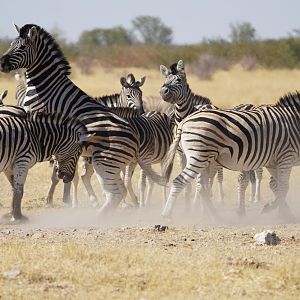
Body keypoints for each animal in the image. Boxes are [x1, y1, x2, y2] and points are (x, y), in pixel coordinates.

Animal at [0, 24, 164, 216]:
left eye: (22, 47)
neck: (45, 86)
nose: (1, 63)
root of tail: (134, 135)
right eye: (11, 45)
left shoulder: (39, 117)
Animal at [162, 91, 300, 220]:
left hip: (203, 159)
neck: (294, 122)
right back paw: (167, 215)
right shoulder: (286, 156)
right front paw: (274, 210)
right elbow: (283, 186)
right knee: (180, 181)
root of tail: (183, 123)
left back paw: (216, 216)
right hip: (198, 157)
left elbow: (279, 186)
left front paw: (285, 213)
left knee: (203, 187)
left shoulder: (274, 161)